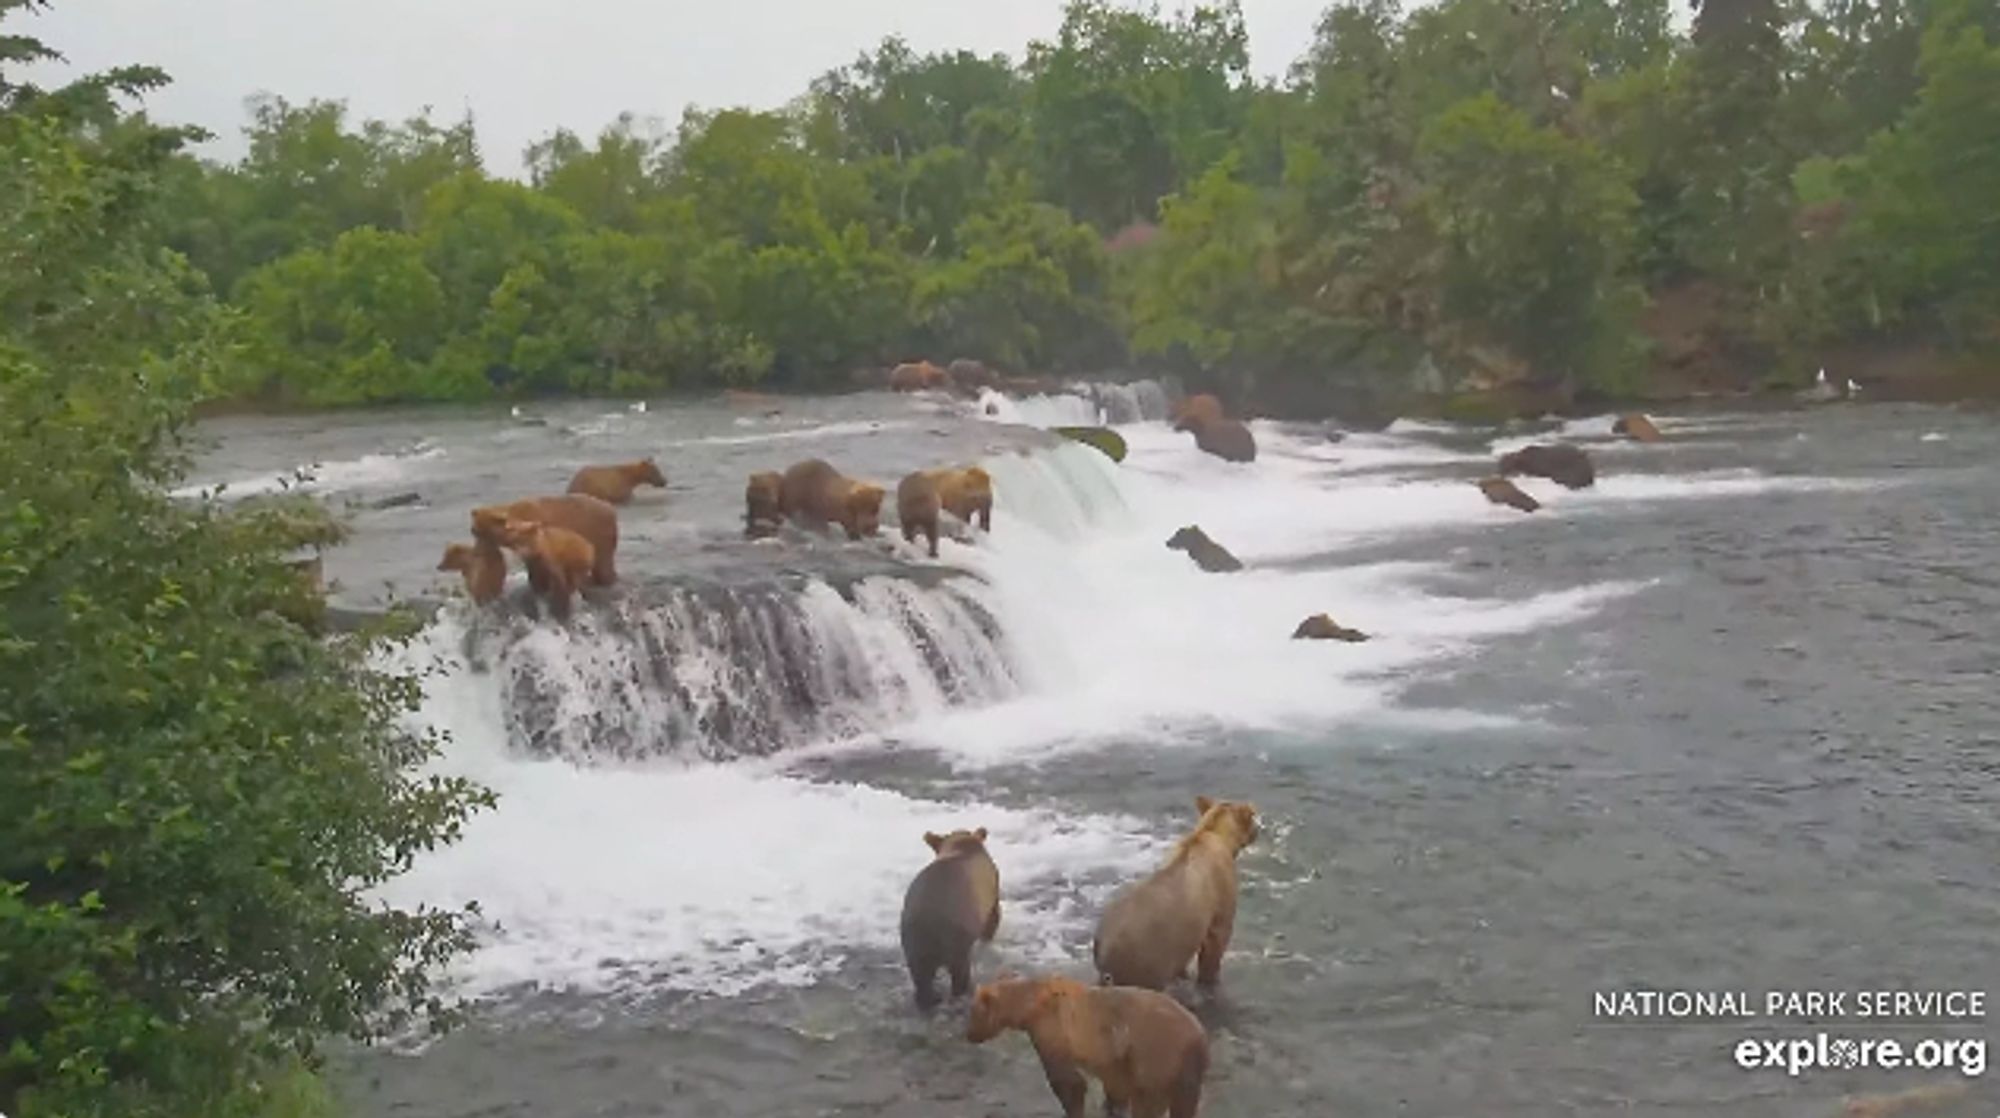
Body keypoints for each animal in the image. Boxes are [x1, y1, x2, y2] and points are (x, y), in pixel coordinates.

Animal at [470, 494, 616, 592]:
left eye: (480, 533)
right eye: (474, 531)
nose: (477, 551)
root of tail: (611, 509)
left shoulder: (538, 536)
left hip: (598, 534)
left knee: (603, 563)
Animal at [964, 976, 1200, 1118]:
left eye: (973, 1013)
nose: (969, 1035)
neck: (1030, 1008)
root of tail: (1199, 1034)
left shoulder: (1053, 1032)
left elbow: (1068, 1083)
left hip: (1157, 1054)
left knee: (1149, 1101)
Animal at [1096, 796, 1264, 988]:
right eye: (1252, 816)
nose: (1259, 828)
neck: (1214, 833)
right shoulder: (1220, 913)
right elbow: (1213, 954)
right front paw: (1210, 980)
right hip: (1141, 961)